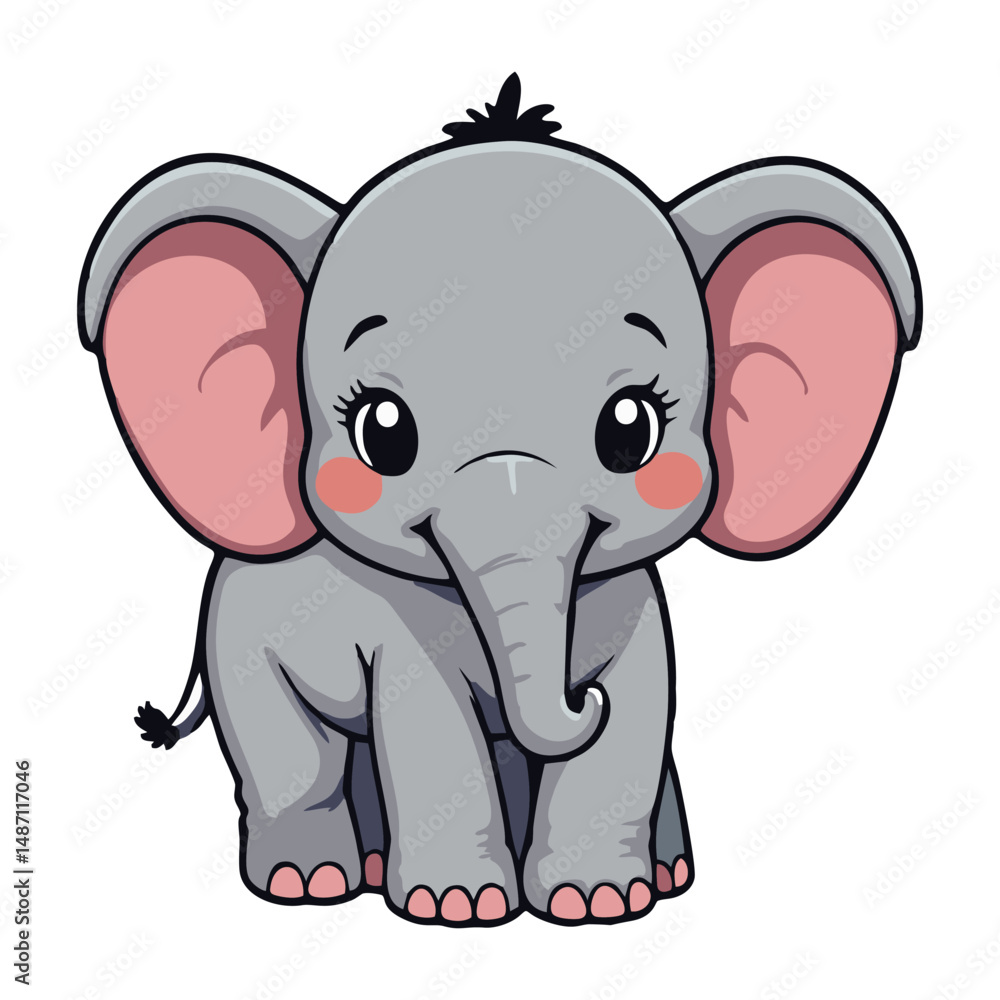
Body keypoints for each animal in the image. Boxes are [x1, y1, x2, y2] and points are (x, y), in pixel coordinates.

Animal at [77, 74, 920, 926]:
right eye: (383, 431)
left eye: (631, 429)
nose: (582, 695)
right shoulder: (398, 626)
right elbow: (432, 723)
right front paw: (460, 908)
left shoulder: (634, 606)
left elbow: (640, 709)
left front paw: (600, 904)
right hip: (241, 648)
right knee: (295, 761)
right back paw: (308, 884)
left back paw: (664, 872)